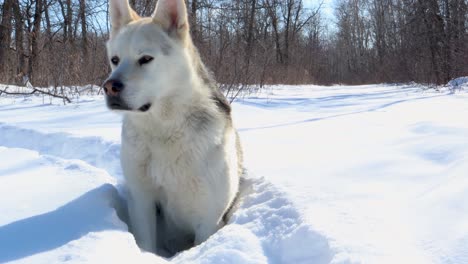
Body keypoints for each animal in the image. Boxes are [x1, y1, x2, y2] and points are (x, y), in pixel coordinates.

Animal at [102, 0, 241, 258]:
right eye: (115, 60)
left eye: (146, 59)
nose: (109, 87)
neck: (165, 130)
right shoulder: (142, 201)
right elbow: (145, 242)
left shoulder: (209, 217)